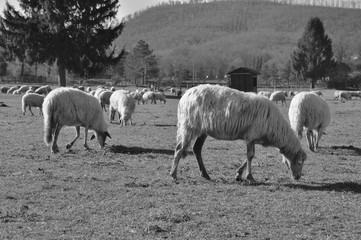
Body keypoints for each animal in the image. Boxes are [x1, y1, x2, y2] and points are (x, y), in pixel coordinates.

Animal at [170, 84, 306, 182]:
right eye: (299, 162)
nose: (298, 177)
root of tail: (185, 95)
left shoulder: (252, 138)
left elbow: (248, 156)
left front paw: (239, 174)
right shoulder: (251, 137)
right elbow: (250, 156)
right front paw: (250, 177)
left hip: (203, 130)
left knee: (196, 149)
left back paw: (205, 174)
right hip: (189, 126)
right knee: (179, 148)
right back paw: (173, 174)